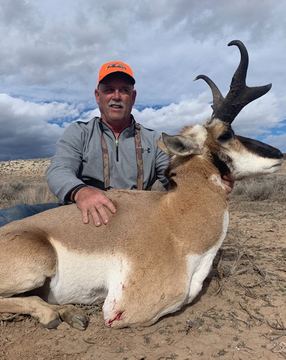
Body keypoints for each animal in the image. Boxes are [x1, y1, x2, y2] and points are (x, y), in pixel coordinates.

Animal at [0, 39, 282, 330]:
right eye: (226, 134)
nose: (279, 154)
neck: (174, 216)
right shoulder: (128, 309)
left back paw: (71, 313)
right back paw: (53, 315)